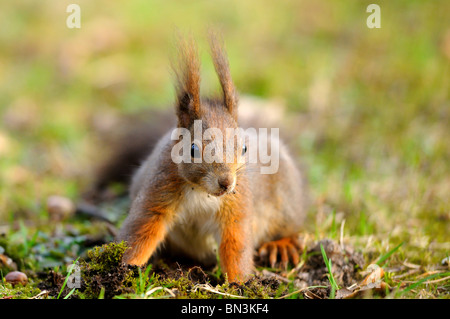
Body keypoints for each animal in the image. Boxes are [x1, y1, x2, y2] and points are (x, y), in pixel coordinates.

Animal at [115, 34, 310, 282]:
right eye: (193, 149)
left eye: (244, 148)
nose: (226, 182)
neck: (201, 191)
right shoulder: (158, 189)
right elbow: (141, 231)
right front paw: (121, 269)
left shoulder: (237, 205)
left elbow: (236, 244)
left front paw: (240, 283)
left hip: (286, 198)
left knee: (288, 225)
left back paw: (281, 244)